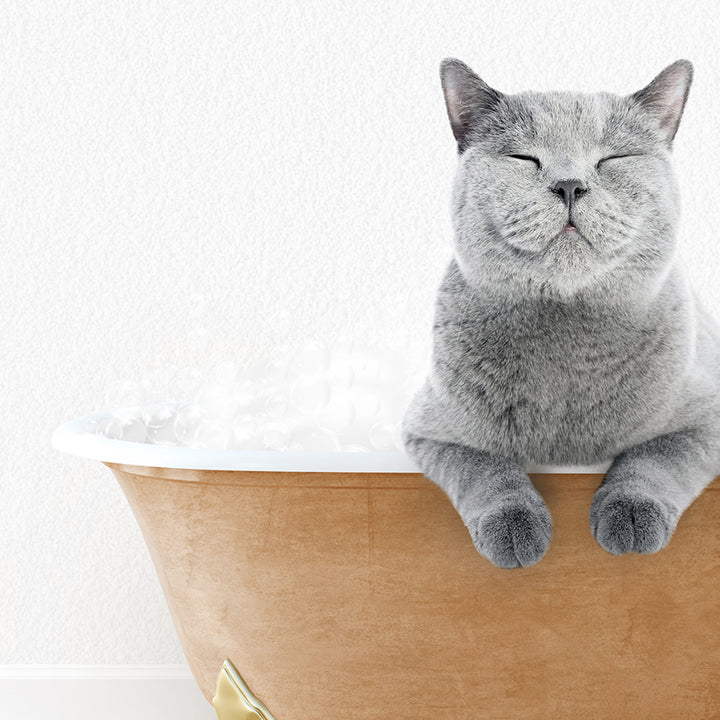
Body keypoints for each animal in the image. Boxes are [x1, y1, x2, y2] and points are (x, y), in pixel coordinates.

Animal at [402, 59, 720, 568]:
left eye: (612, 159)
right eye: (524, 159)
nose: (570, 185)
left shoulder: (706, 417)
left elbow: (656, 457)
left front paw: (630, 517)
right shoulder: (432, 431)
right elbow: (485, 467)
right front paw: (515, 529)